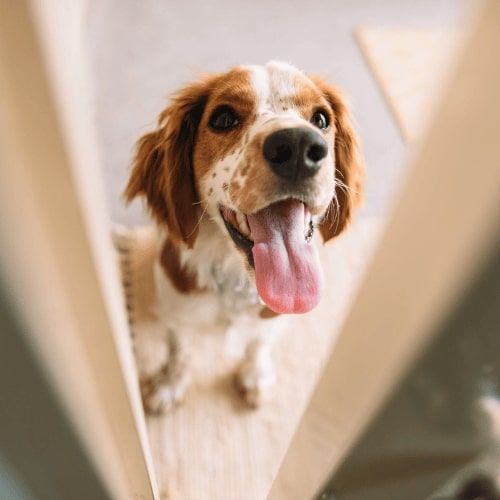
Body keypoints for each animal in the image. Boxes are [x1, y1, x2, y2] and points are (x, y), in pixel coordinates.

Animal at [123, 60, 362, 412]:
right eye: (223, 118)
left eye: (321, 119)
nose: (298, 147)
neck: (236, 277)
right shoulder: (177, 307)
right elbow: (178, 349)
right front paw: (169, 384)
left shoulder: (272, 317)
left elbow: (258, 343)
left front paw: (255, 376)